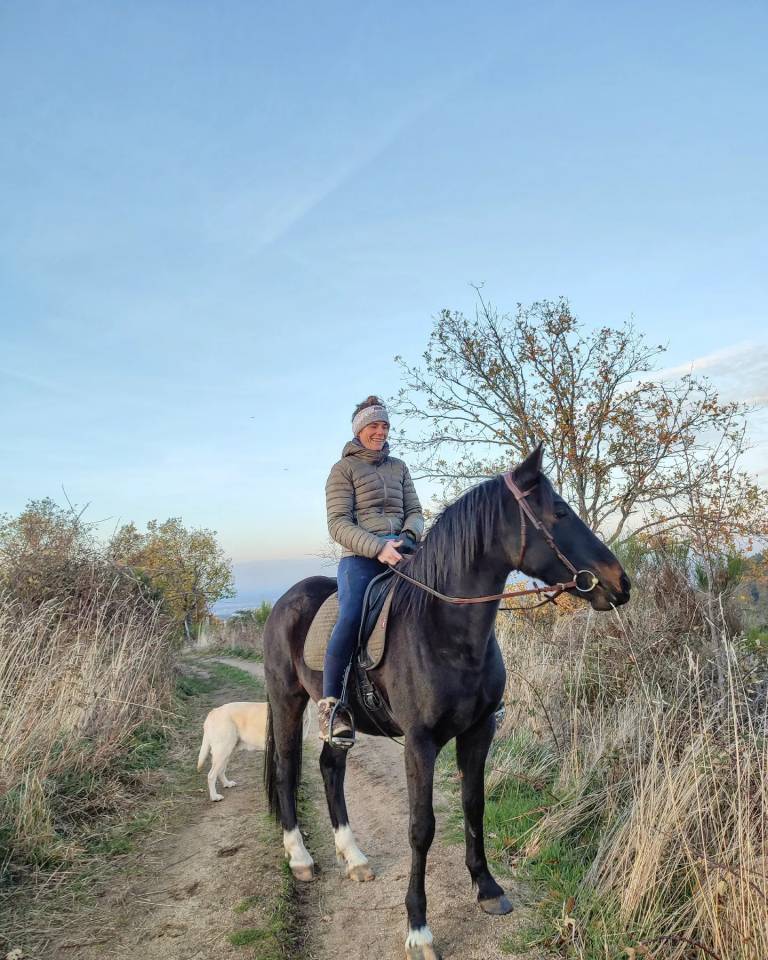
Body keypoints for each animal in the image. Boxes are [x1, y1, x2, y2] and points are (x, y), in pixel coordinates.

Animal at [262, 445, 630, 960]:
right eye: (558, 513)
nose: (621, 582)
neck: (442, 627)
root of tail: (284, 601)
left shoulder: (479, 732)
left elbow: (474, 805)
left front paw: (488, 888)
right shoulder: (420, 744)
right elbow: (422, 827)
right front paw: (418, 928)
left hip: (337, 720)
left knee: (329, 769)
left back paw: (353, 857)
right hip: (286, 701)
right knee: (287, 771)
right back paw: (300, 857)